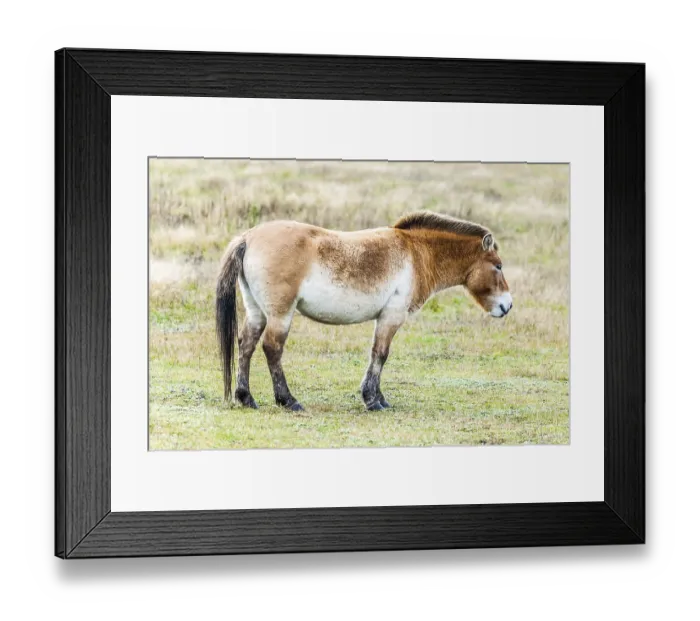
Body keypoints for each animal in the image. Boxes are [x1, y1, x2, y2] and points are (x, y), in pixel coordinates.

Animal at [216, 211, 512, 412]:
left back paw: (246, 398)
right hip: (280, 314)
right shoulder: (392, 316)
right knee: (272, 349)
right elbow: (380, 354)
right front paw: (373, 400)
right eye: (498, 265)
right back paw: (288, 400)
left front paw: (377, 398)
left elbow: (376, 355)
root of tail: (248, 237)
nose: (507, 306)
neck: (416, 253)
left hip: (257, 312)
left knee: (246, 345)